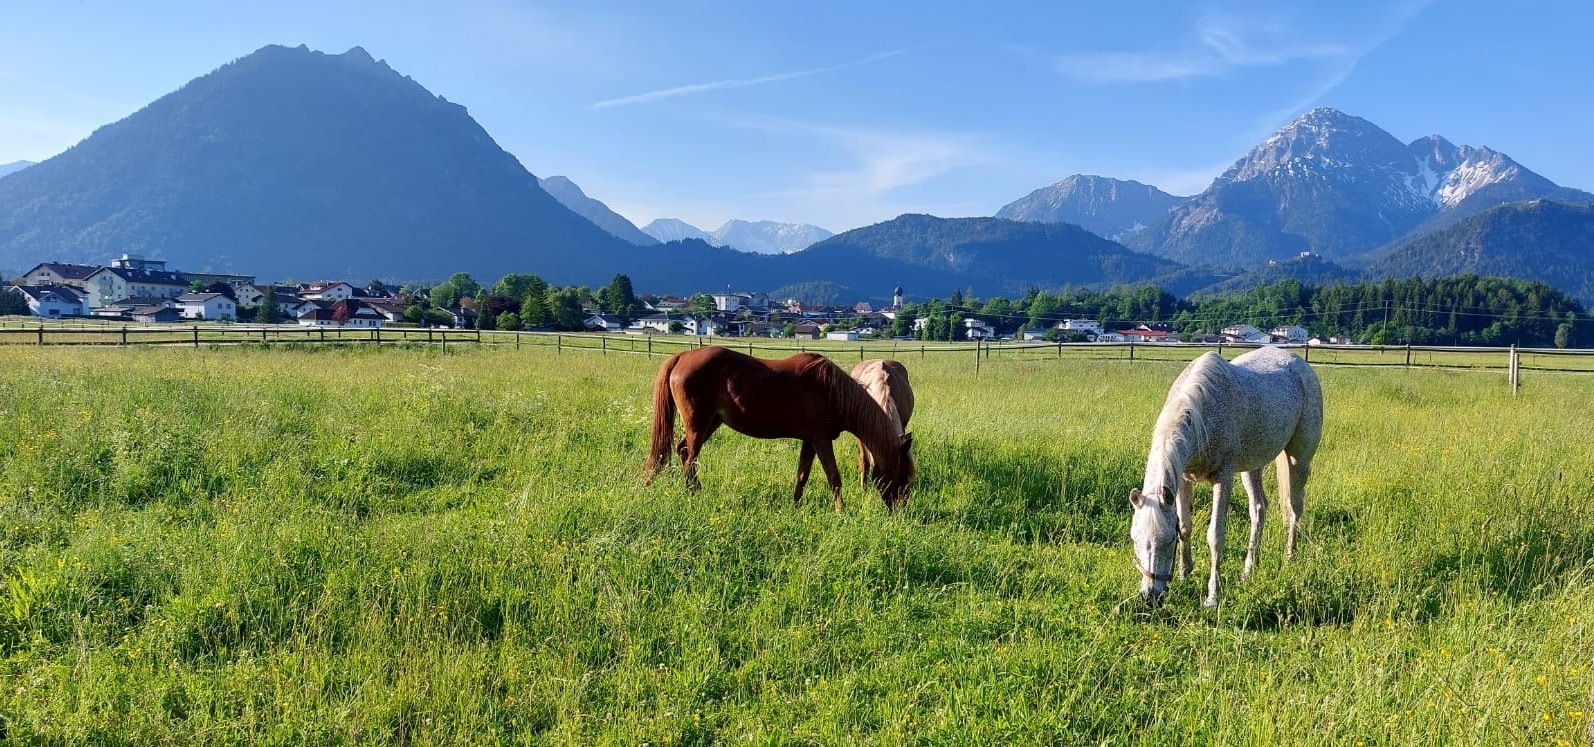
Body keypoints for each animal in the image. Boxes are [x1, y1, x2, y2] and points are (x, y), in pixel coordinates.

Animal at [1128, 346, 1322, 608]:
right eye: (1134, 540)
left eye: (1167, 541)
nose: (1150, 597)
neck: (1202, 415)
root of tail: (1300, 364)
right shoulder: (1183, 480)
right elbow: (1186, 527)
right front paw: (1184, 575)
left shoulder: (1223, 477)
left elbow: (1215, 536)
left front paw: (1213, 596)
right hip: (1252, 466)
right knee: (1258, 509)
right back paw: (1249, 570)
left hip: (1299, 459)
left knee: (1294, 507)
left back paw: (1290, 557)